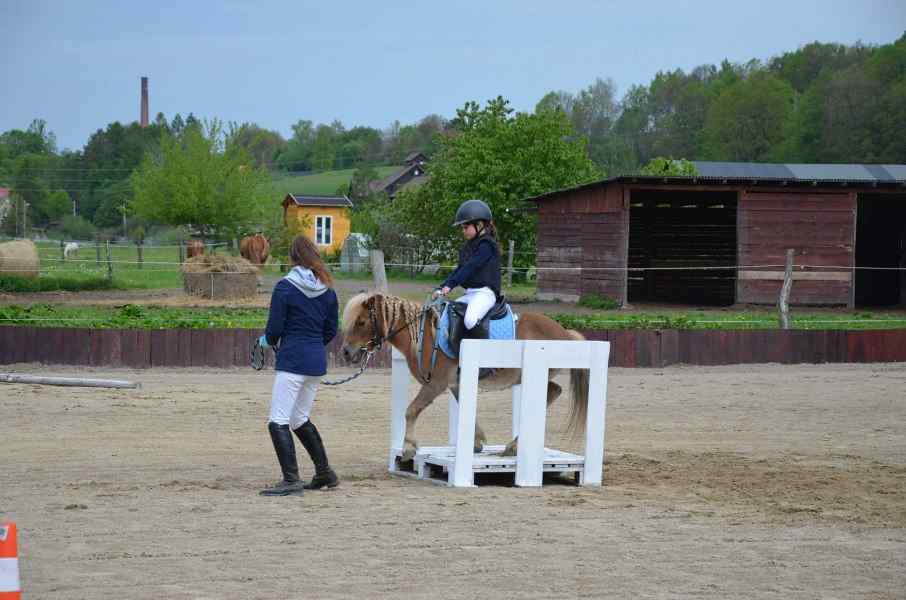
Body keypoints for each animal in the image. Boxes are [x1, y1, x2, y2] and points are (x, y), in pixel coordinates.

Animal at [338, 292, 588, 462]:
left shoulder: (436, 385)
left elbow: (411, 410)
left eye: (361, 322)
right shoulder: (454, 384)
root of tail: (564, 333)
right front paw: (477, 441)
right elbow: (465, 408)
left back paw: (513, 446)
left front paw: (409, 447)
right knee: (554, 391)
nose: (346, 352)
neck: (424, 336)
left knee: (553, 392)